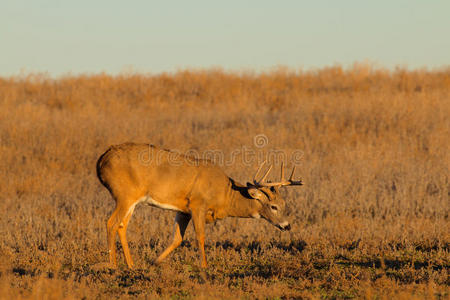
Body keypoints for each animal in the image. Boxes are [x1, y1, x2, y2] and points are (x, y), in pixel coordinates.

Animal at [97, 142, 302, 268]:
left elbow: (177, 239)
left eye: (284, 203)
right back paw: (113, 266)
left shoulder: (183, 210)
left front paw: (155, 262)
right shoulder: (197, 205)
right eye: (273, 206)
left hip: (132, 200)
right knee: (111, 223)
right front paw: (204, 266)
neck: (225, 194)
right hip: (124, 195)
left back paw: (131, 265)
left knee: (122, 226)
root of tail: (101, 161)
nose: (287, 225)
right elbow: (200, 237)